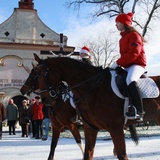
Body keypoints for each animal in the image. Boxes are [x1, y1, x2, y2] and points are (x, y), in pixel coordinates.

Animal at [31, 54, 160, 160]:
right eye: (35, 74)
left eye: (39, 74)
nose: (45, 99)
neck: (93, 87)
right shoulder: (89, 128)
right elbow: (86, 153)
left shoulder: (115, 128)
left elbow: (122, 155)